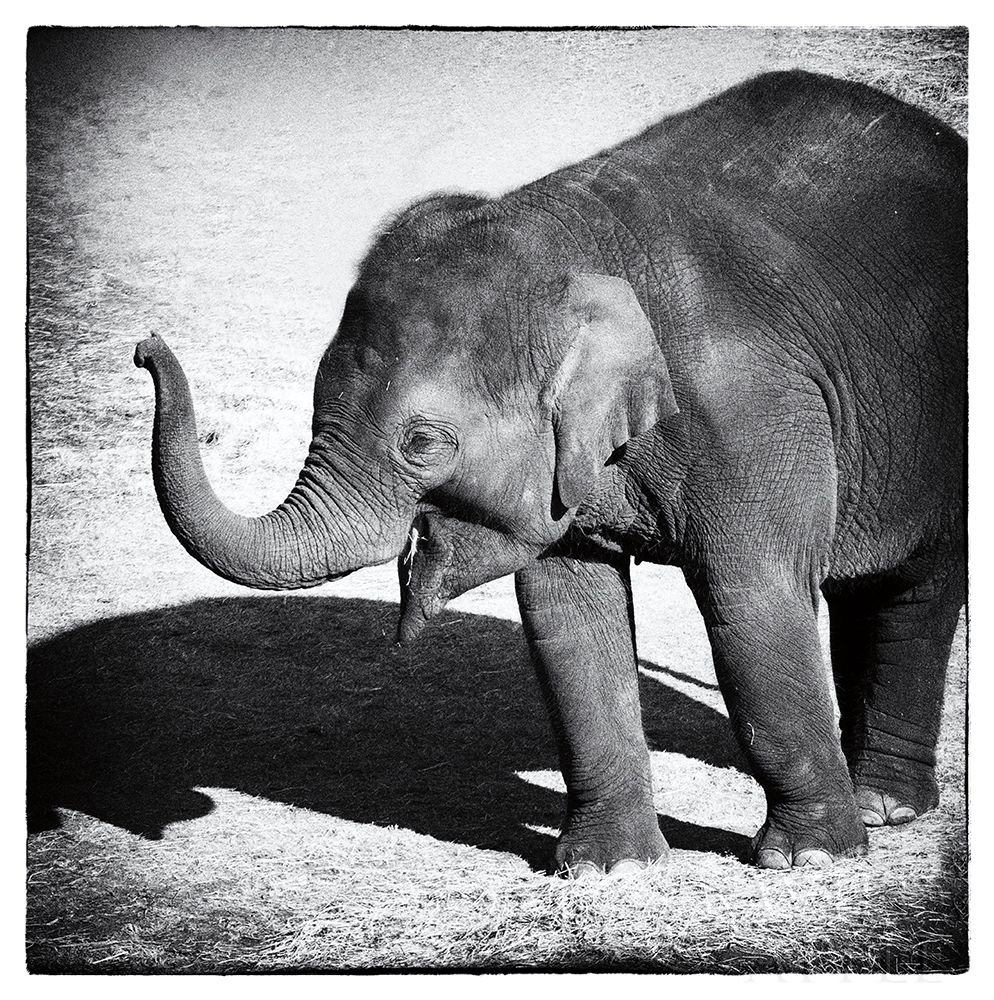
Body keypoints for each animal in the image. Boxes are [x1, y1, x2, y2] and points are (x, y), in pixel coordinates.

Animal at [135, 70, 965, 877]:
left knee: (918, 592)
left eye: (423, 443)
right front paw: (609, 871)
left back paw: (882, 808)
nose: (144, 347)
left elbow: (754, 596)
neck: (573, 245)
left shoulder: (753, 410)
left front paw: (808, 860)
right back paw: (875, 800)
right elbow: (568, 615)